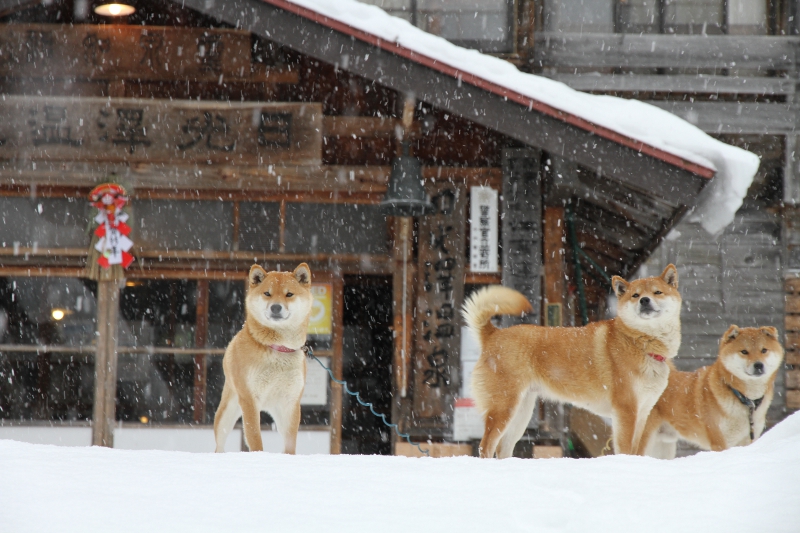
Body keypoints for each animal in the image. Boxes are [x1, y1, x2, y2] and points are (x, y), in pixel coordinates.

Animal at [214, 264, 314, 450]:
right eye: (267, 293)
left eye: (289, 294)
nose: (275, 307)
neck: (278, 348)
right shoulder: (249, 399)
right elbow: (254, 437)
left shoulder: (290, 402)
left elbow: (290, 442)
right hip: (227, 412)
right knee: (219, 445)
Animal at [462, 264, 680, 456]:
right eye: (635, 295)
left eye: (657, 292)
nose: (644, 300)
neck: (641, 344)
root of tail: (493, 334)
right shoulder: (625, 411)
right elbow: (625, 450)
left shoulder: (642, 413)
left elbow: (636, 452)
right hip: (503, 408)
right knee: (485, 446)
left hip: (520, 413)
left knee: (503, 448)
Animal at [640, 324, 784, 458]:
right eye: (744, 351)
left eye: (764, 350)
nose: (759, 365)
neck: (743, 398)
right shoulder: (719, 441)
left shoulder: (747, 440)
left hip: (663, 447)